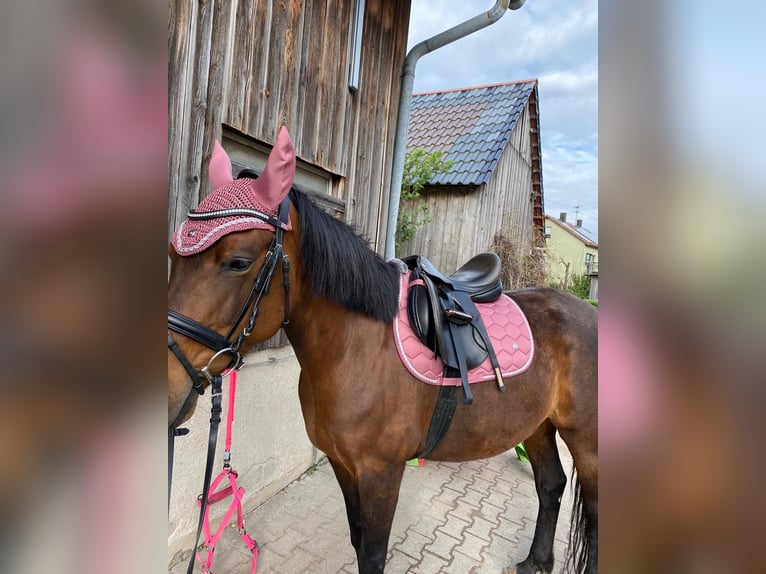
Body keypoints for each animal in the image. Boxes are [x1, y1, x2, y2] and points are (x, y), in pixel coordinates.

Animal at [168, 136, 600, 574]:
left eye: (238, 262)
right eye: (172, 255)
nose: (170, 389)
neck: (354, 350)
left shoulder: (381, 473)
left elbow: (373, 553)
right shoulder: (343, 465)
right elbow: (358, 541)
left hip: (587, 442)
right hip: (539, 425)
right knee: (551, 485)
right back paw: (535, 562)